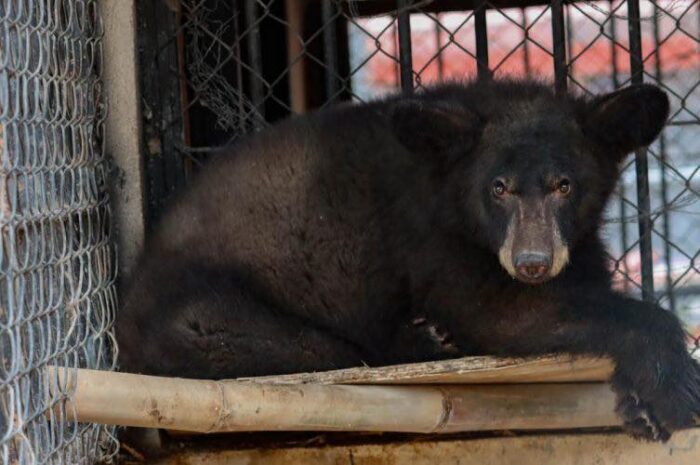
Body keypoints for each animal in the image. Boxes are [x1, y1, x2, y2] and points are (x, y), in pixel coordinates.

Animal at [116, 79, 700, 438]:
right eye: (498, 187)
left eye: (564, 185)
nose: (532, 262)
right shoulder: (434, 242)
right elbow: (499, 313)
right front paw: (674, 386)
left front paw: (640, 402)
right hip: (204, 318)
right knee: (317, 347)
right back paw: (422, 337)